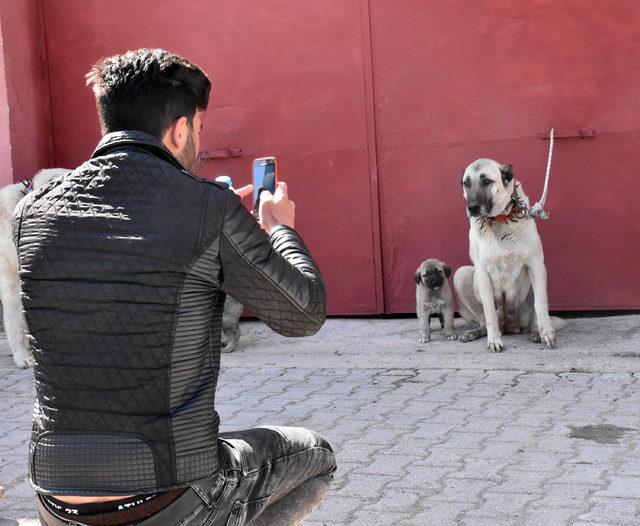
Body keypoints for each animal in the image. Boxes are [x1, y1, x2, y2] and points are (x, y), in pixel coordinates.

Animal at [452, 159, 556, 352]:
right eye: (466, 183)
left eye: (486, 181)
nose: (472, 207)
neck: (498, 221)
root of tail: (510, 326)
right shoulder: (482, 272)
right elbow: (489, 314)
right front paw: (494, 340)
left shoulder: (536, 264)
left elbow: (541, 305)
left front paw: (546, 332)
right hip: (461, 274)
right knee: (484, 321)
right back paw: (474, 332)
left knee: (535, 313)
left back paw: (536, 332)